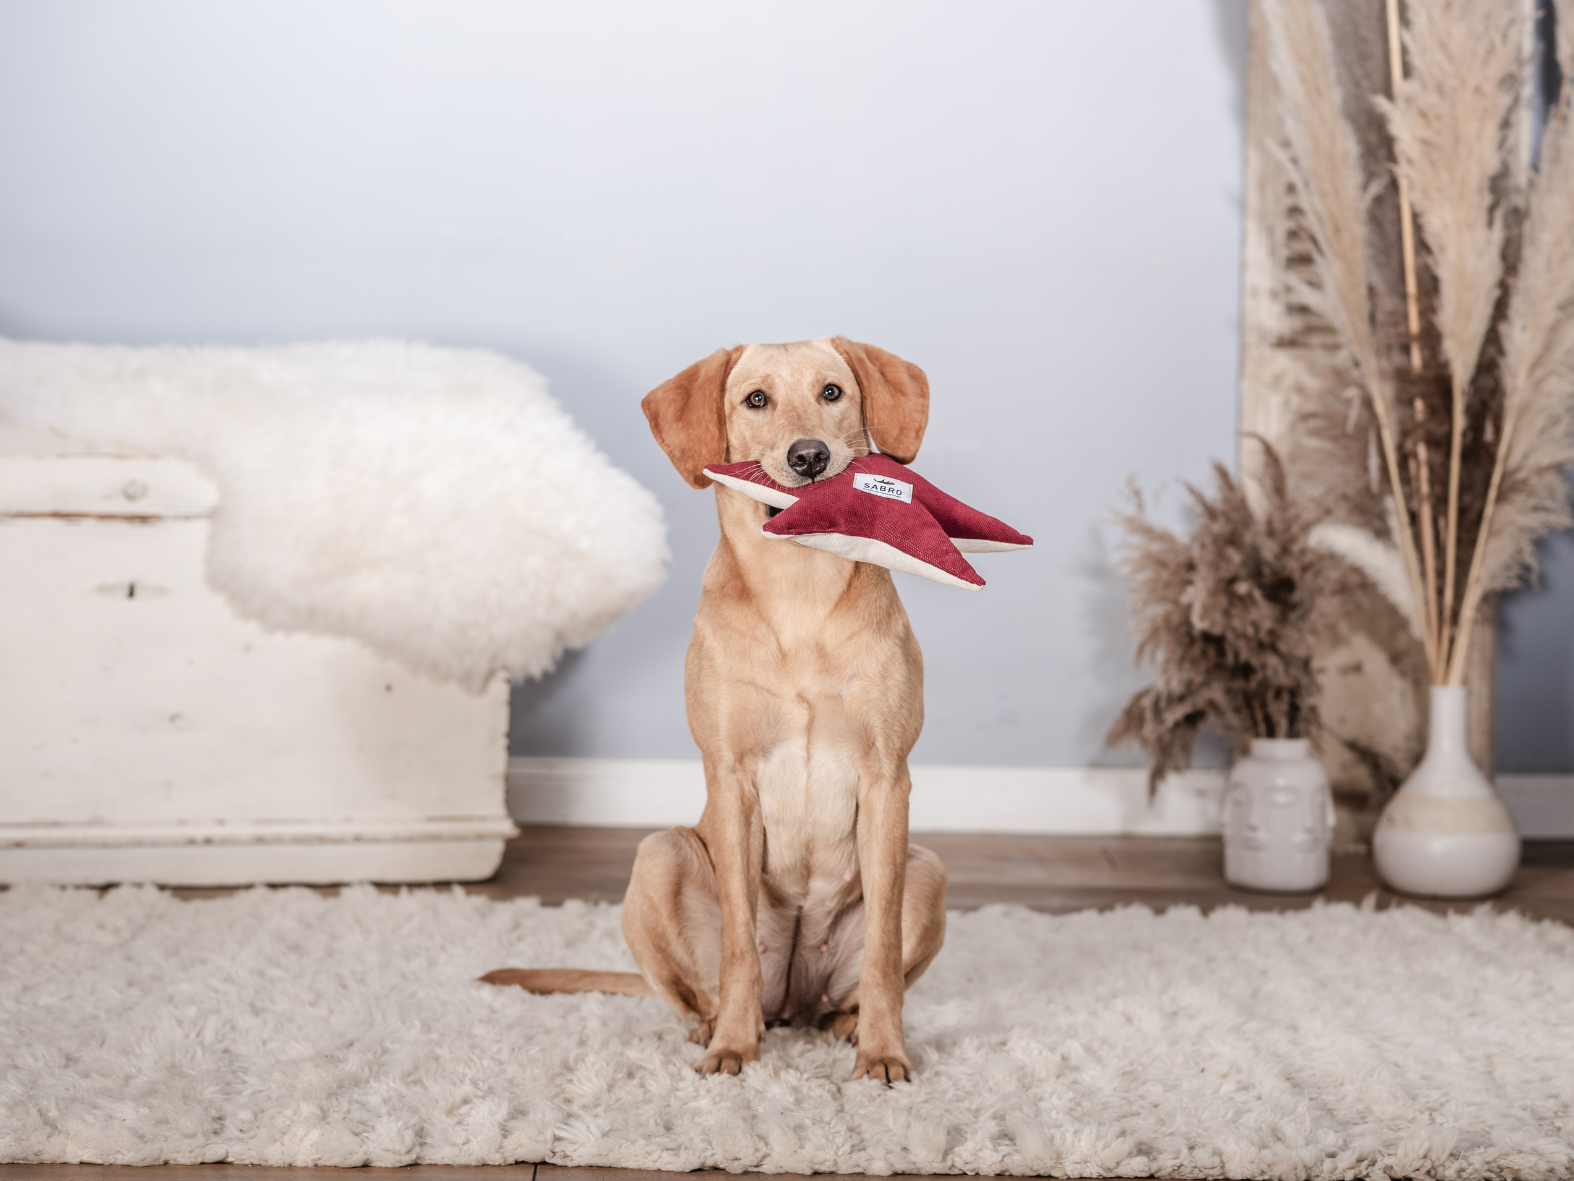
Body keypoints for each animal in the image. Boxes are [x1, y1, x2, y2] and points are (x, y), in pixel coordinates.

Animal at [484, 340, 938, 1083]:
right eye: (756, 400)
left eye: (833, 391)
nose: (809, 456)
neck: (798, 589)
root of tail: (792, 1000)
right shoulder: (729, 776)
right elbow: (735, 943)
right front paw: (732, 1046)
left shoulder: (886, 778)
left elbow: (881, 955)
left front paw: (883, 1050)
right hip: (659, 853)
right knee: (695, 988)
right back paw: (714, 1023)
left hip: (924, 869)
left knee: (854, 980)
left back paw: (844, 1024)